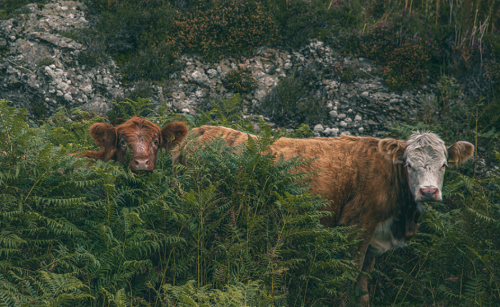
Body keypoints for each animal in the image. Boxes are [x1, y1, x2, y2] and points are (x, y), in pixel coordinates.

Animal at [173, 125, 472, 307]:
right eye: (409, 164)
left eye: (444, 165)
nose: (428, 191)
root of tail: (200, 130)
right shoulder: (356, 227)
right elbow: (348, 275)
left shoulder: (372, 238)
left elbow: (363, 282)